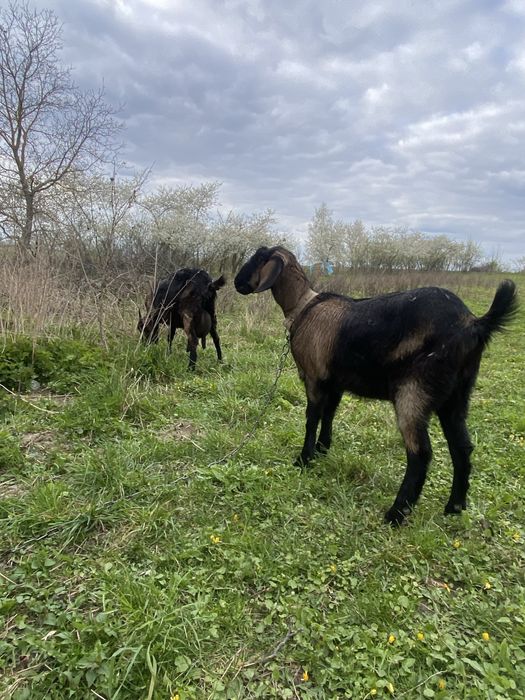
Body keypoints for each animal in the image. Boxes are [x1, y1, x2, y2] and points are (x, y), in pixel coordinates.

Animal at [234, 245, 518, 525]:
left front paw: (304, 459)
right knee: (462, 447)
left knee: (420, 453)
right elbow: (329, 415)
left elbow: (312, 417)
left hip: (414, 391)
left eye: (259, 258)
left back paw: (396, 514)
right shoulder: (335, 382)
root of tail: (474, 323)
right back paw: (454, 508)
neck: (304, 306)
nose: (237, 283)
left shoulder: (313, 377)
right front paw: (322, 450)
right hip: (457, 396)